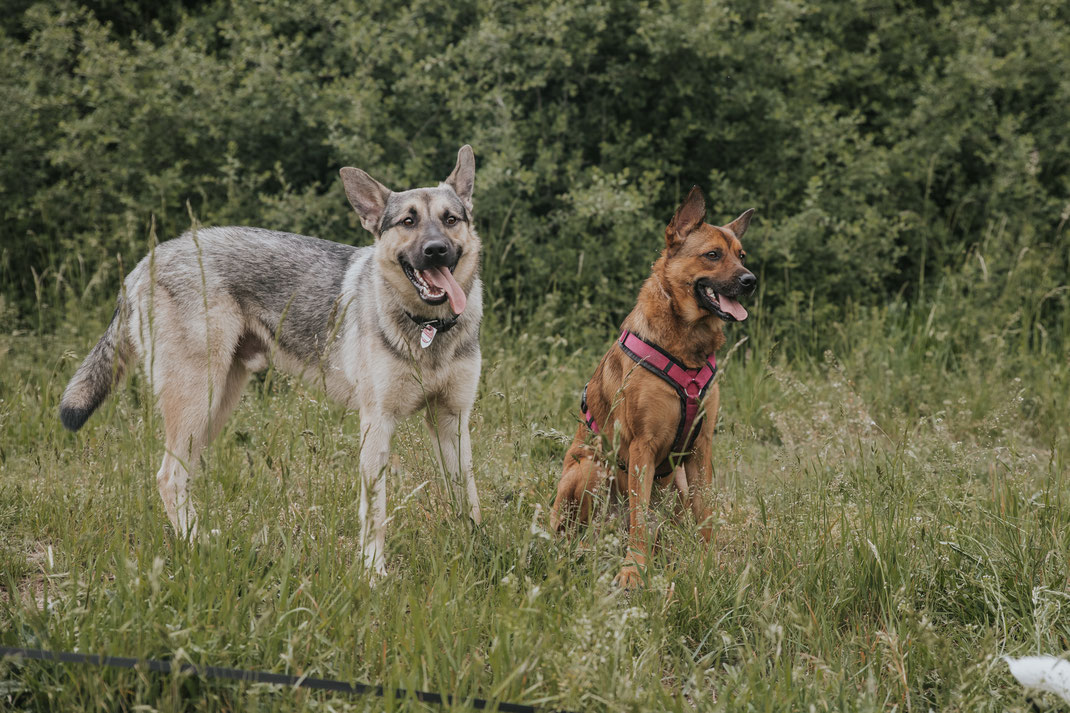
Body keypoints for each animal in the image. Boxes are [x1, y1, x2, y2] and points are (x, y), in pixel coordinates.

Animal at [59, 145, 485, 578]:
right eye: (408, 221)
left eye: (450, 220)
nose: (436, 250)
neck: (428, 328)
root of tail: (144, 262)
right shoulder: (377, 423)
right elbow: (375, 514)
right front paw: (373, 574)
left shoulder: (452, 420)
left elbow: (468, 497)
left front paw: (476, 555)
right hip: (197, 402)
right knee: (167, 476)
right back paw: (196, 545)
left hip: (215, 408)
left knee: (181, 474)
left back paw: (204, 538)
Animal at [552, 186, 753, 586]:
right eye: (712, 255)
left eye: (741, 256)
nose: (751, 280)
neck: (687, 349)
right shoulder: (641, 447)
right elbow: (639, 520)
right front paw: (634, 570)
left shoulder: (701, 448)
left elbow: (706, 514)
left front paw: (709, 563)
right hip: (590, 467)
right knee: (585, 531)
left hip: (676, 483)